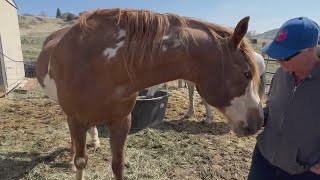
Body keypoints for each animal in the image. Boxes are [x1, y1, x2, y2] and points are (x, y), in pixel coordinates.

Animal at [36, 8, 264, 180]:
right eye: (246, 73)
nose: (259, 121)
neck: (101, 63)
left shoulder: (121, 121)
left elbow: (118, 165)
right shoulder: (76, 118)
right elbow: (82, 161)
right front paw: (75, 160)